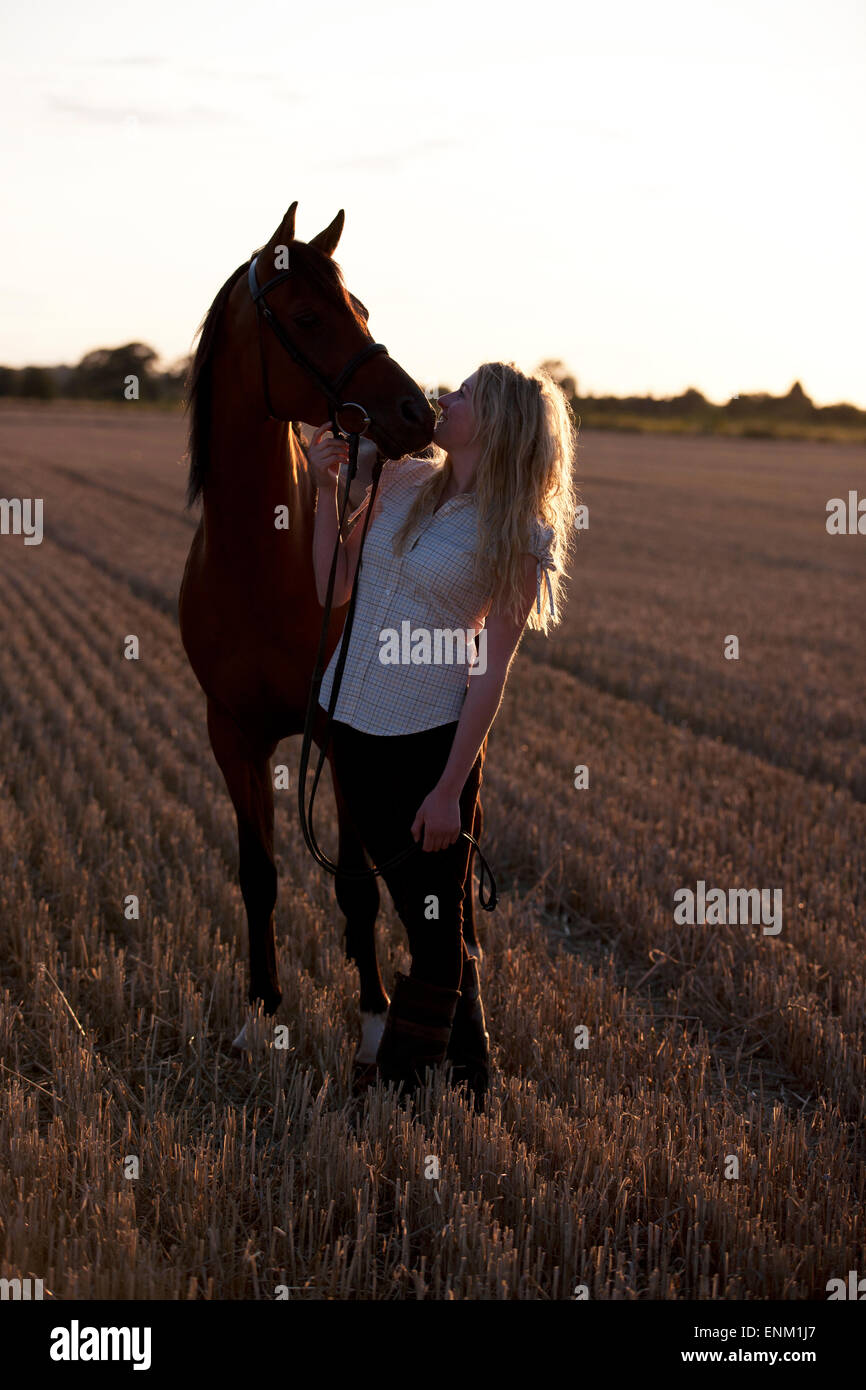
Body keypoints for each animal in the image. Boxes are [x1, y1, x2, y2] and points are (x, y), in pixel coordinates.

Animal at [177, 201, 489, 1078]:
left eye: (365, 310)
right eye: (310, 317)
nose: (417, 415)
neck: (261, 564)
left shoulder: (340, 741)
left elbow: (355, 884)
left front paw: (376, 1023)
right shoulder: (233, 736)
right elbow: (259, 874)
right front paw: (259, 1013)